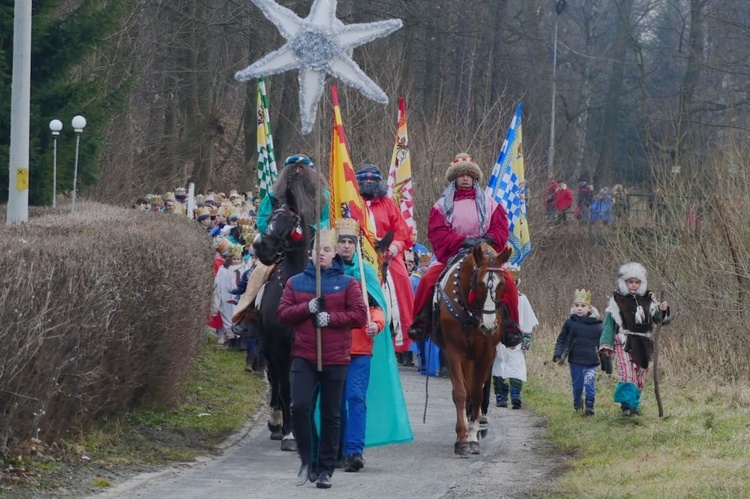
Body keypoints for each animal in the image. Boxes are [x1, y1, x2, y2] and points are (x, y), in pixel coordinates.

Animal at [434, 242, 516, 458]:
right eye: (479, 283)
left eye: (502, 284)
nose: (488, 326)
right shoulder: (453, 352)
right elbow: (460, 393)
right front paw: (462, 439)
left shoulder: (487, 354)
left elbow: (477, 393)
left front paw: (472, 436)